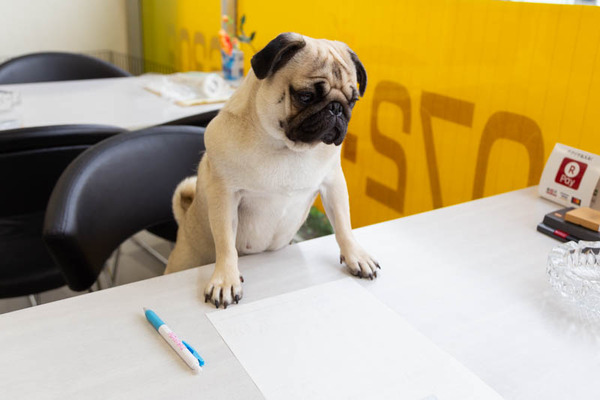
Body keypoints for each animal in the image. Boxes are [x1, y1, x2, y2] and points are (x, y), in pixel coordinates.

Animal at [165, 32, 380, 308]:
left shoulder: (333, 184)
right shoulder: (224, 195)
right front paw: (225, 280)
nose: (336, 108)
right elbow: (225, 244)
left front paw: (355, 255)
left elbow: (343, 225)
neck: (288, 148)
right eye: (305, 96)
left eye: (353, 100)